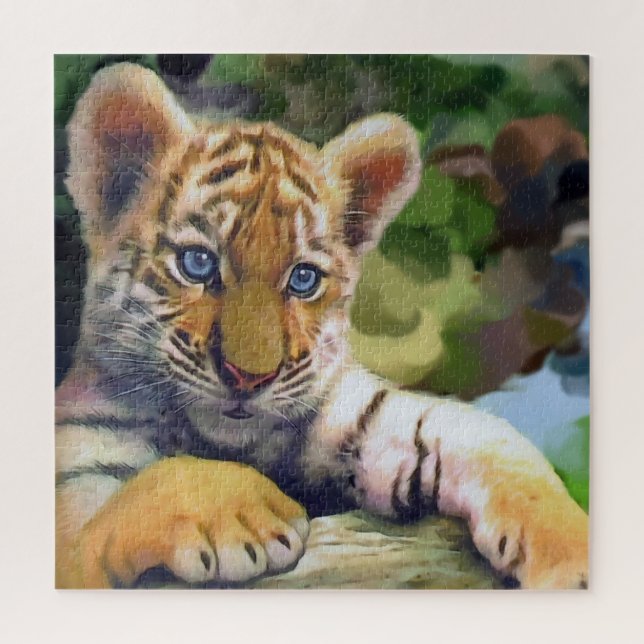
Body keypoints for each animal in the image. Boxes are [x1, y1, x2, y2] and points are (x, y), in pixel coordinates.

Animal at [56, 62, 588, 589]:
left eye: (303, 278)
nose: (248, 378)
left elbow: (487, 436)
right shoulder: (76, 489)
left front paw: (573, 554)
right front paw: (249, 518)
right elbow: (145, 488)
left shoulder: (362, 412)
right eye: (197, 263)